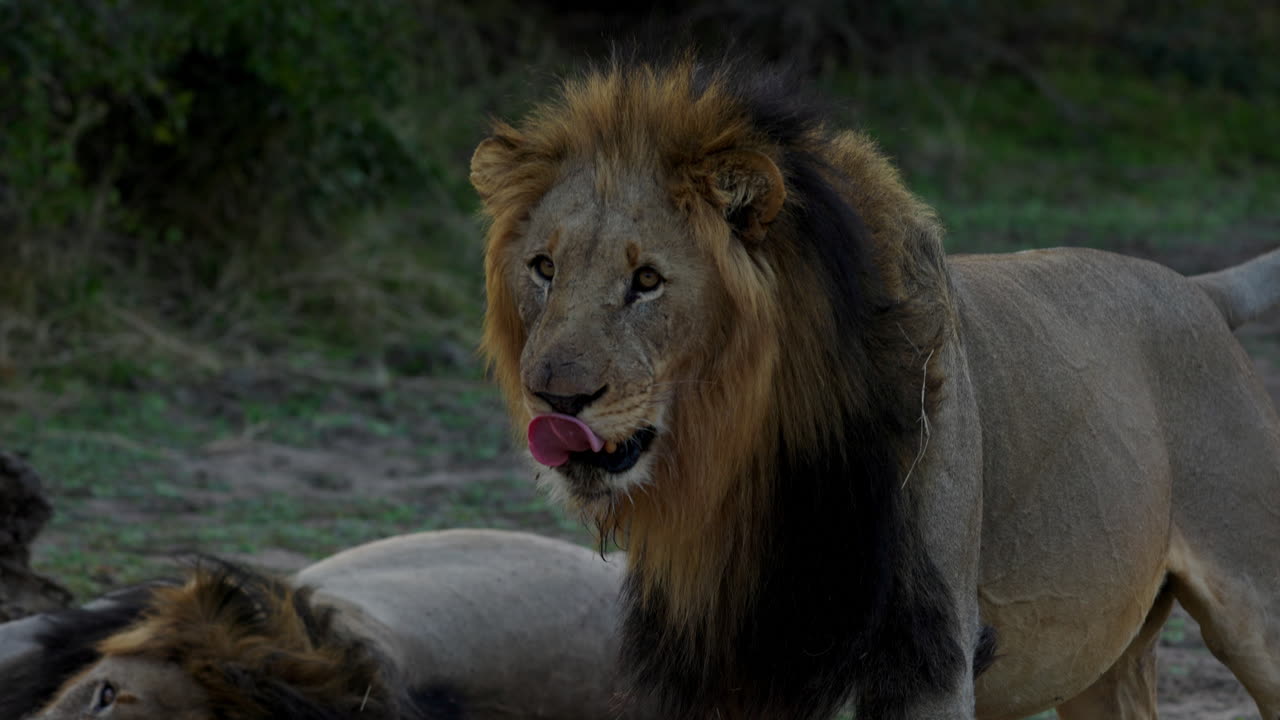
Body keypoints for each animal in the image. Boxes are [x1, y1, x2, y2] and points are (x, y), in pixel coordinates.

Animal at [471, 54, 1280, 719]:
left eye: (646, 281)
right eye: (544, 268)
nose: (555, 400)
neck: (746, 469)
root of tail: (1199, 290)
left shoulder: (927, 656)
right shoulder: (721, 664)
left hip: (1258, 609)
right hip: (1102, 660)